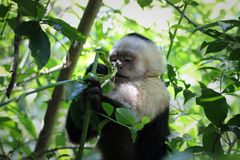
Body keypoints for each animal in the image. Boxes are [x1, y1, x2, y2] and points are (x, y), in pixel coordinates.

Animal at [65, 32, 170, 160]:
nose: (117, 65)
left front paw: (97, 97)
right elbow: (77, 134)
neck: (142, 78)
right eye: (114, 59)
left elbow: (131, 123)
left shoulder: (154, 88)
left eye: (127, 59)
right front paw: (95, 70)